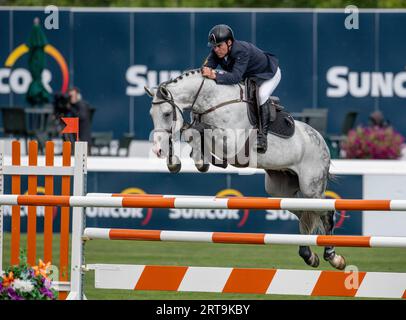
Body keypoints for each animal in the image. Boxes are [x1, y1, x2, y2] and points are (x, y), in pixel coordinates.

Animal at [146, 68, 346, 270]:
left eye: (166, 114)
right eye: (151, 115)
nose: (157, 150)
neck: (213, 100)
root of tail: (321, 140)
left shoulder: (231, 143)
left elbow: (194, 130)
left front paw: (195, 158)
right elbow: (192, 132)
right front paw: (185, 161)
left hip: (311, 187)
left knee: (326, 213)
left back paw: (333, 257)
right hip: (280, 190)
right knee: (303, 213)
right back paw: (309, 255)